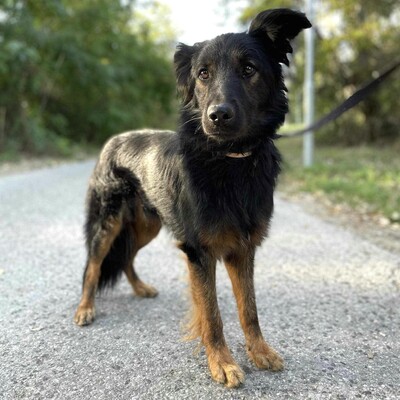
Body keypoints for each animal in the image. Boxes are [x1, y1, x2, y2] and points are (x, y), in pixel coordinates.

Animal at [75, 8, 312, 388]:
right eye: (203, 74)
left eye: (249, 69)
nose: (217, 115)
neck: (229, 160)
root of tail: (113, 140)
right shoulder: (199, 251)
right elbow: (212, 316)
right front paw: (223, 363)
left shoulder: (242, 248)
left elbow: (249, 309)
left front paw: (259, 351)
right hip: (108, 222)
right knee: (93, 264)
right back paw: (85, 308)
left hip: (148, 226)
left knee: (126, 257)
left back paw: (140, 288)